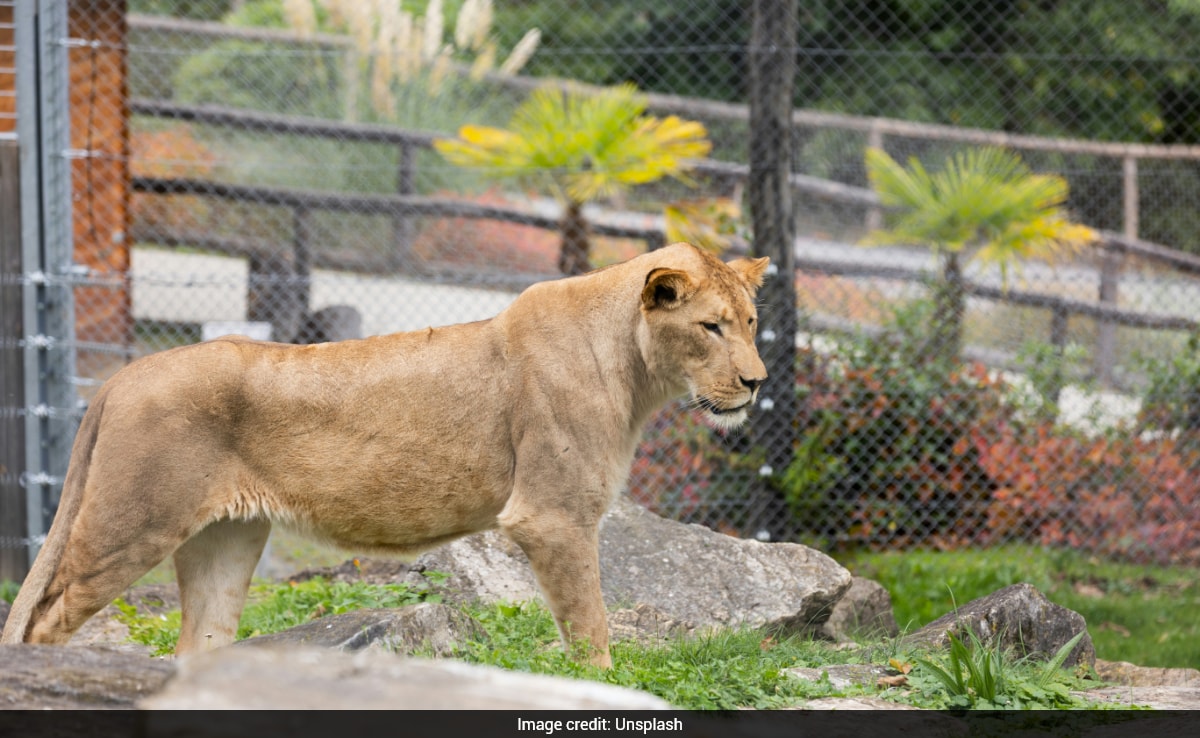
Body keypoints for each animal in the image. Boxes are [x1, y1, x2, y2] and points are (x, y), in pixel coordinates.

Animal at [1, 242, 768, 667]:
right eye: (710, 327)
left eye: (753, 322)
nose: (757, 382)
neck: (634, 369)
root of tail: (124, 375)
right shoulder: (551, 516)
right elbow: (590, 624)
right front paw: (603, 681)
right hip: (129, 526)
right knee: (40, 622)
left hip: (226, 539)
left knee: (198, 649)